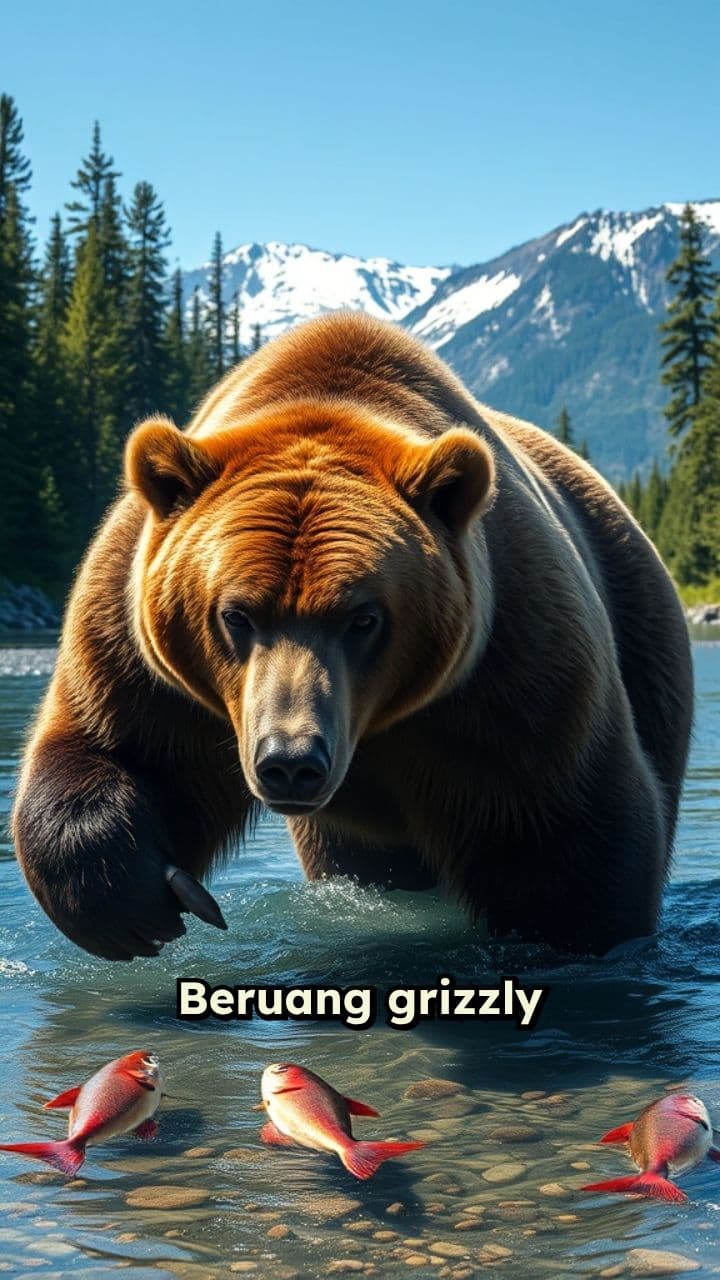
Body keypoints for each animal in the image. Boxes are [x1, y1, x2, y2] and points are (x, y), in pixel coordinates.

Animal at [13, 312, 693, 960]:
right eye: (236, 614)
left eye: (363, 618)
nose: (290, 760)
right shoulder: (143, 650)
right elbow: (117, 748)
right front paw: (132, 906)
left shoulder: (512, 667)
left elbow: (565, 833)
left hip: (640, 626)